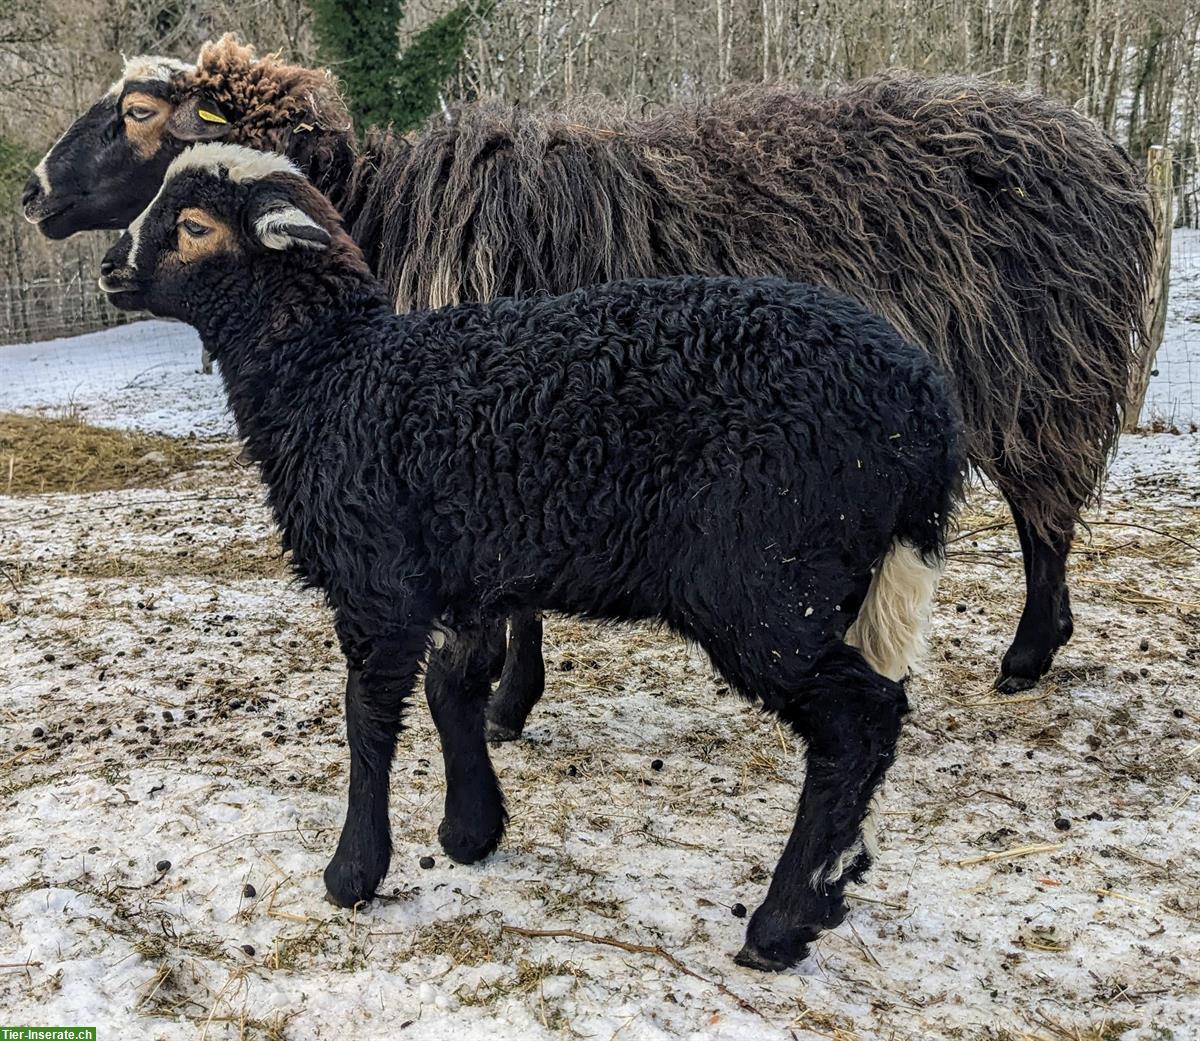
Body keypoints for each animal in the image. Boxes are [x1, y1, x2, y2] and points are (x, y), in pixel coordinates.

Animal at [100, 142, 964, 973]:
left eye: (194, 226)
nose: (109, 266)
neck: (333, 375)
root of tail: (927, 409)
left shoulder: (377, 578)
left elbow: (368, 719)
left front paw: (353, 873)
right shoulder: (466, 569)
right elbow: (452, 690)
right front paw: (470, 830)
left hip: (766, 578)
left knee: (859, 721)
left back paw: (782, 922)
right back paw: (827, 886)